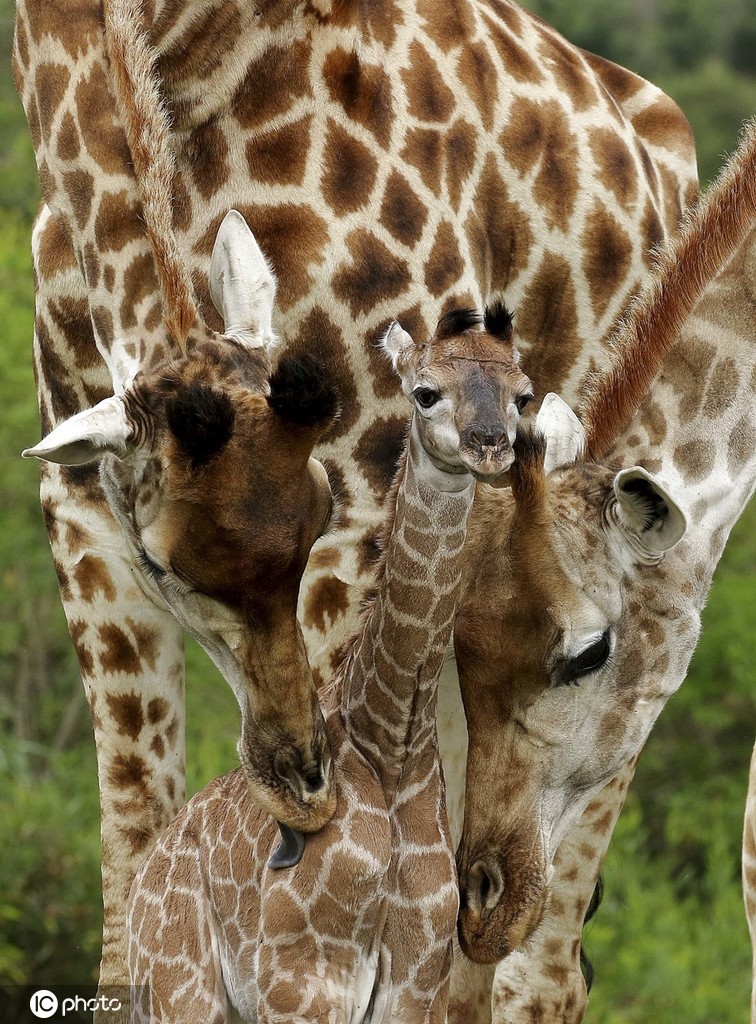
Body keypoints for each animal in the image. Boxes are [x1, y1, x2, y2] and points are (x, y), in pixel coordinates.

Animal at [128, 303, 528, 1024]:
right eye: (425, 393)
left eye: (523, 396)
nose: (489, 444)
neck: (392, 749)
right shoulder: (304, 976)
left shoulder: (415, 982)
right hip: (180, 987)